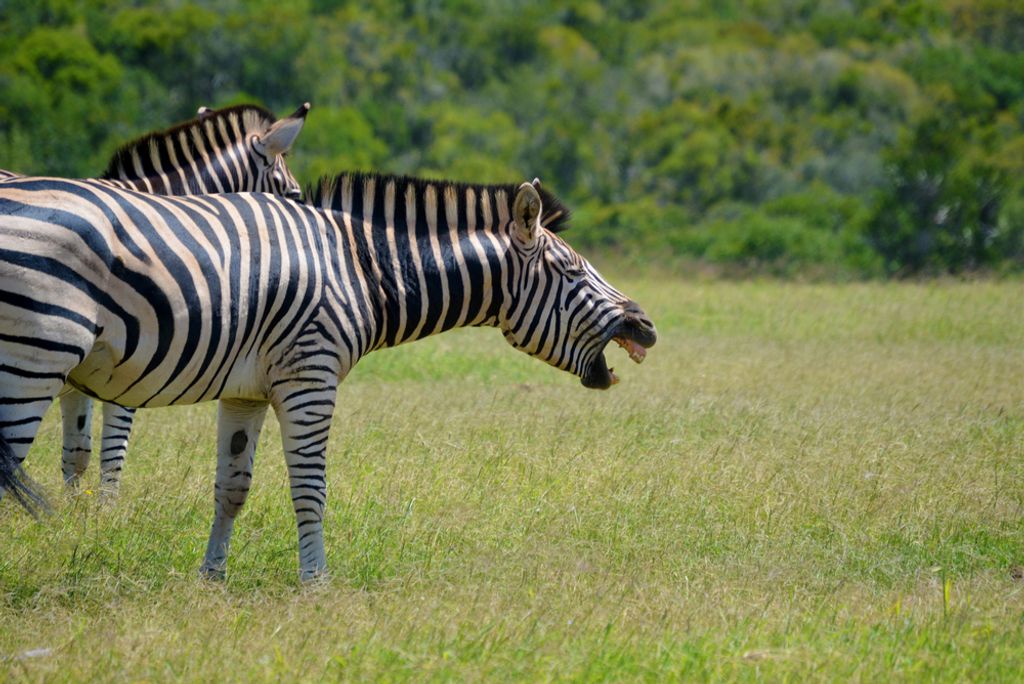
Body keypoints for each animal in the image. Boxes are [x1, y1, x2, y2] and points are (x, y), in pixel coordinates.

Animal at [0, 173, 657, 581]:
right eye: (571, 272)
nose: (646, 326)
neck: (361, 269)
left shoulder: (245, 390)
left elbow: (232, 488)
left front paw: (211, 578)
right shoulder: (310, 377)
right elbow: (309, 489)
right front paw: (316, 583)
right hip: (33, 356)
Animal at [1, 103, 311, 497]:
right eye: (295, 196)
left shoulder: (78, 373)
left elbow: (77, 451)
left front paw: (75, 509)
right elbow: (112, 452)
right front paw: (105, 508)